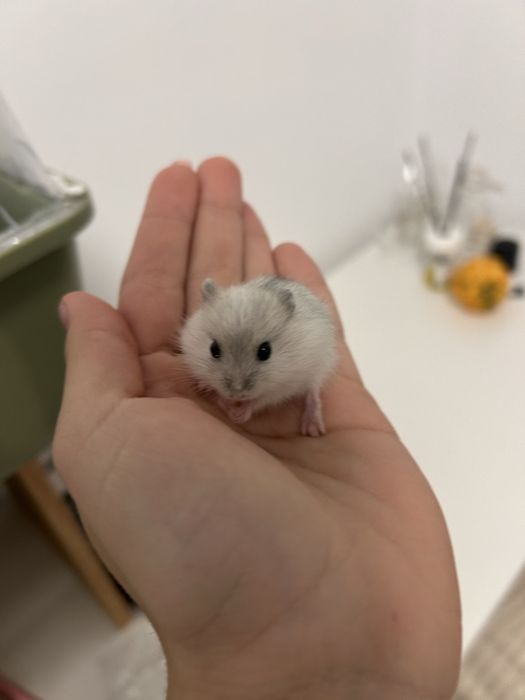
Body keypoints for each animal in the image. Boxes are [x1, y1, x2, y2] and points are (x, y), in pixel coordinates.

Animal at [180, 276, 337, 436]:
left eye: (265, 351)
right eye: (213, 349)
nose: (237, 394)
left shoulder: (283, 387)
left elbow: (260, 400)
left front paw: (238, 415)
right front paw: (226, 405)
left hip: (321, 364)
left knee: (313, 392)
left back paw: (313, 429)